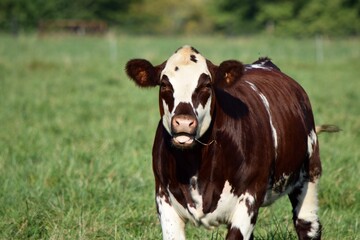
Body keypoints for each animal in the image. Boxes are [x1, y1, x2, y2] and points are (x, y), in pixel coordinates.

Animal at [125, 46, 324, 239]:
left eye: (206, 85)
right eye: (165, 84)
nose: (183, 122)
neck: (194, 164)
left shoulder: (248, 199)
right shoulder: (164, 200)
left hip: (309, 174)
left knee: (307, 226)